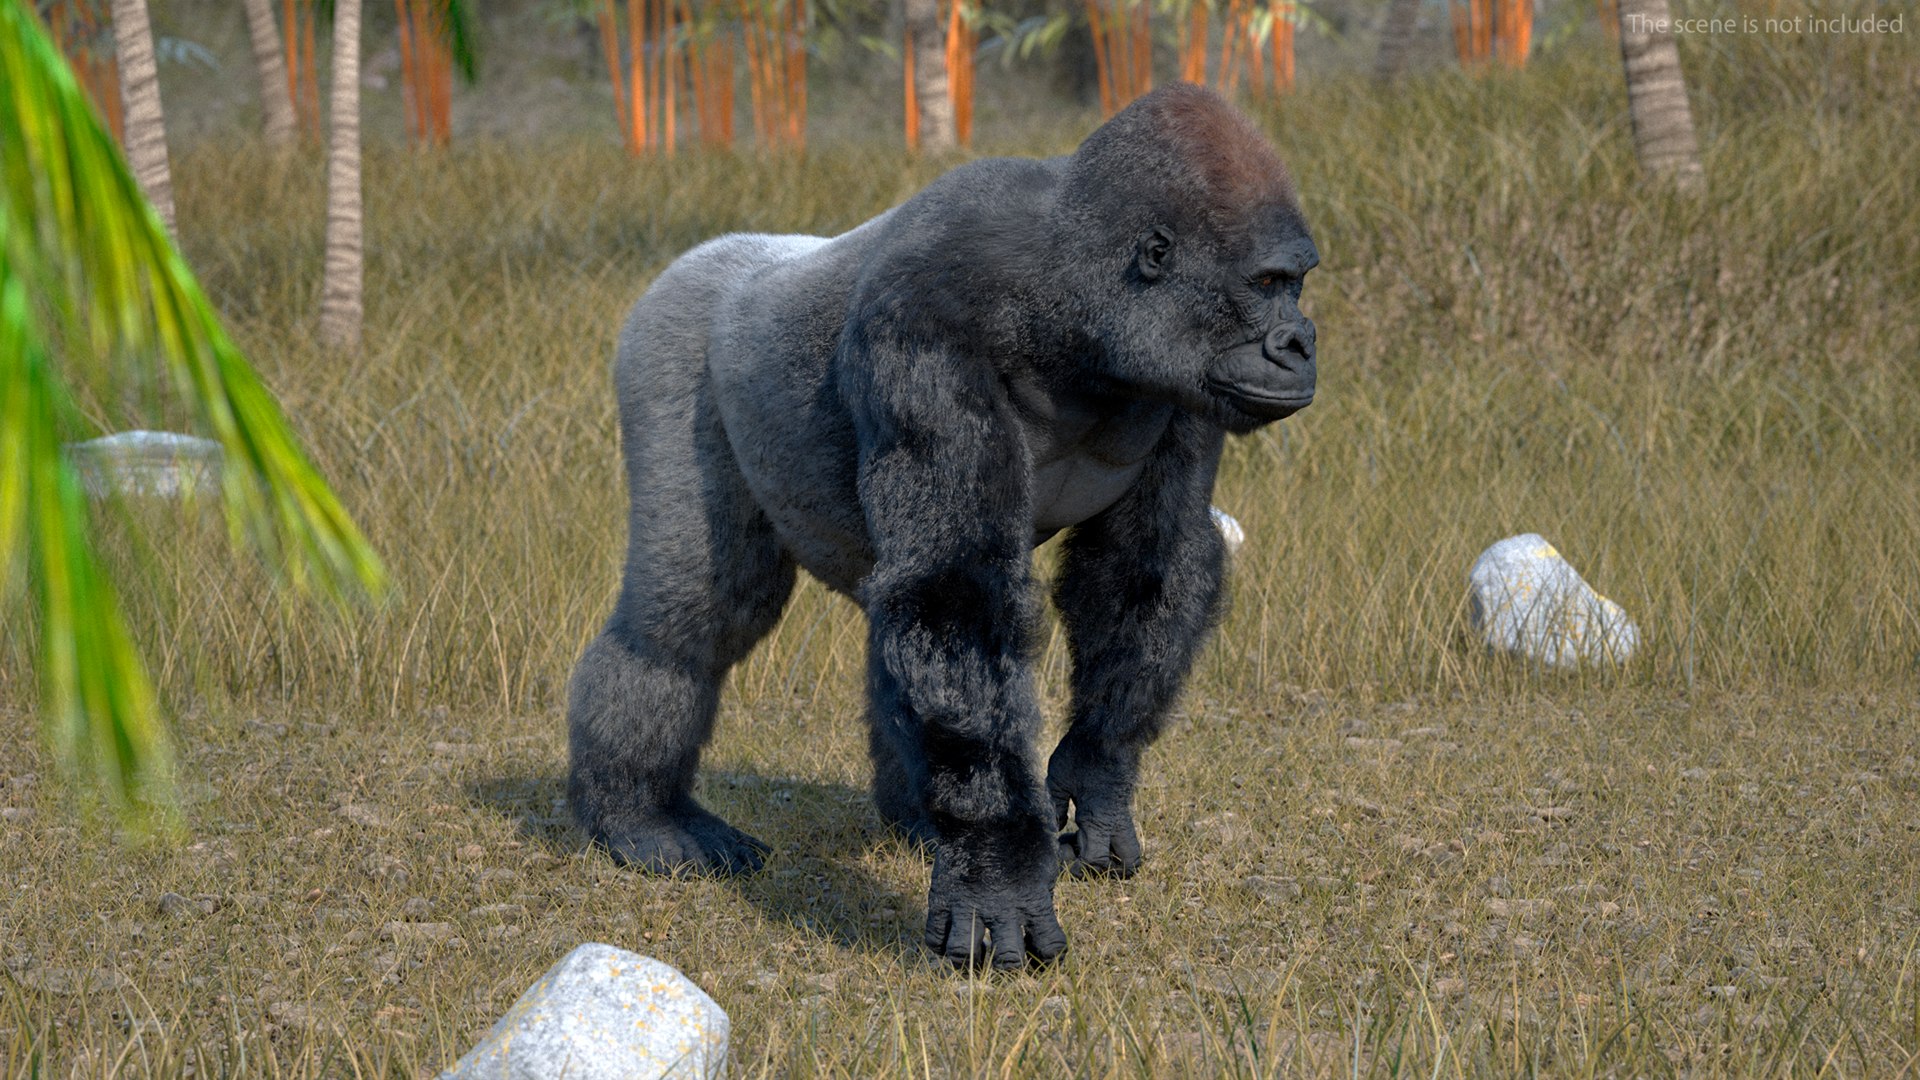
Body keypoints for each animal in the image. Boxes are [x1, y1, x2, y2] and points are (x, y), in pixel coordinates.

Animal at [566, 82, 1318, 970]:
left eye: (1297, 285)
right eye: (1267, 282)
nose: (1301, 343)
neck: (1073, 298)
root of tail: (706, 255)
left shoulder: (1187, 384)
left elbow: (1145, 567)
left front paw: (1097, 771)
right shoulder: (924, 320)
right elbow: (959, 589)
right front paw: (997, 869)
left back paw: (919, 819)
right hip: (664, 335)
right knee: (693, 614)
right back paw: (640, 816)